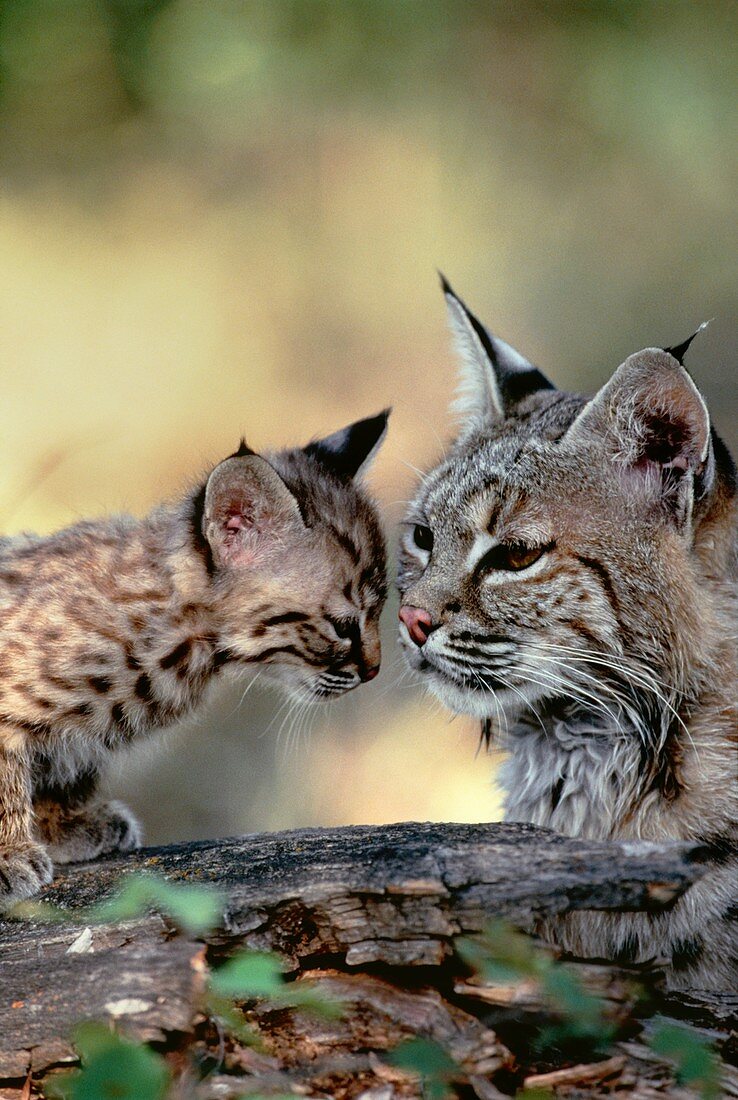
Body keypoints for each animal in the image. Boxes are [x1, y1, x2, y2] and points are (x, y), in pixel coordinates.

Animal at [0, 413, 389, 902]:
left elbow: (63, 767)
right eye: (343, 625)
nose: (374, 671)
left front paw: (64, 826)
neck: (191, 645)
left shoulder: (76, 742)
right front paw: (10, 857)